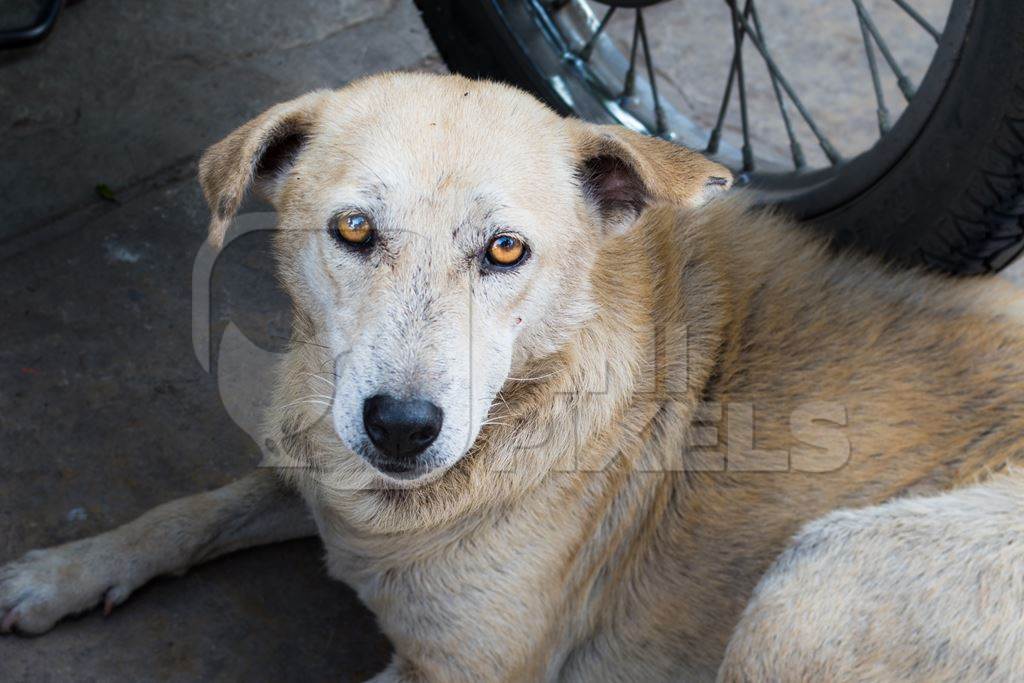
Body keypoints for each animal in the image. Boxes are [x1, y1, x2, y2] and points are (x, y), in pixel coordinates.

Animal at [2, 72, 1024, 679]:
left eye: (505, 249)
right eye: (354, 229)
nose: (400, 425)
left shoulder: (465, 670)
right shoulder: (316, 462)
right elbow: (196, 508)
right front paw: (62, 572)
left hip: (810, 583)